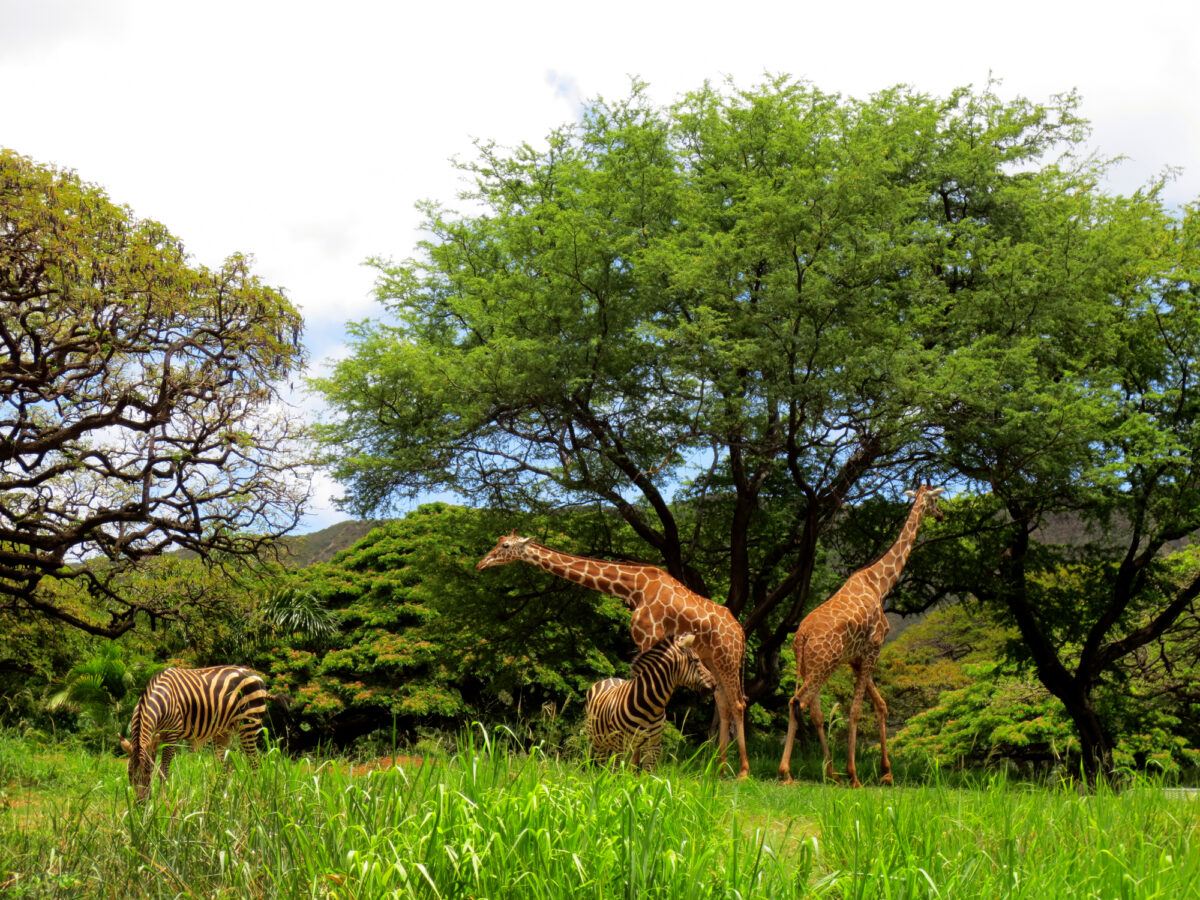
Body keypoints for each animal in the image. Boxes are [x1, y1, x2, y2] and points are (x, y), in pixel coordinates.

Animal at [117, 662, 267, 801]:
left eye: (148, 772)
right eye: (129, 774)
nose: (140, 803)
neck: (163, 699)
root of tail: (255, 674)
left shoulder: (172, 734)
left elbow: (163, 770)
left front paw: (162, 801)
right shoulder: (155, 738)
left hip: (249, 723)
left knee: (254, 762)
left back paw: (253, 796)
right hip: (224, 731)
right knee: (224, 767)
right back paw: (217, 798)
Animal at [585, 633, 715, 768]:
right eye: (696, 660)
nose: (715, 684)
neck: (652, 707)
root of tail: (609, 678)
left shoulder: (654, 746)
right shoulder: (620, 745)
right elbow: (616, 772)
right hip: (597, 740)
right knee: (597, 765)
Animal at [777, 487, 945, 787]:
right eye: (935, 500)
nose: (942, 514)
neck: (879, 584)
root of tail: (801, 637)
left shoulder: (856, 659)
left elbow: (881, 705)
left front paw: (886, 772)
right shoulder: (873, 649)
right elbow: (856, 711)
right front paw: (855, 774)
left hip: (808, 666)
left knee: (812, 709)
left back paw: (829, 772)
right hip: (824, 665)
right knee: (798, 702)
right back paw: (788, 772)